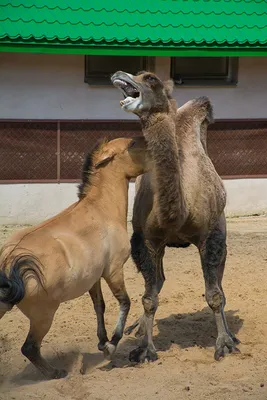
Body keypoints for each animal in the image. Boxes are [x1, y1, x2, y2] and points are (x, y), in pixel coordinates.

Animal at [0, 136, 152, 380]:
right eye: (131, 145)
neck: (101, 210)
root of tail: (8, 264)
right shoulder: (113, 271)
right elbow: (125, 302)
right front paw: (111, 345)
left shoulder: (94, 278)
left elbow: (99, 306)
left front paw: (102, 341)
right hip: (43, 316)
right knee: (29, 348)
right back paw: (55, 372)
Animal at [112, 71, 242, 362]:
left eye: (149, 78)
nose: (120, 74)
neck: (178, 213)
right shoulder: (146, 240)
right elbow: (149, 297)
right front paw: (144, 349)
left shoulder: (210, 237)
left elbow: (215, 295)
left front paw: (224, 344)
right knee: (157, 281)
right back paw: (138, 326)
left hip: (222, 234)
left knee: (221, 286)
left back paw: (231, 334)